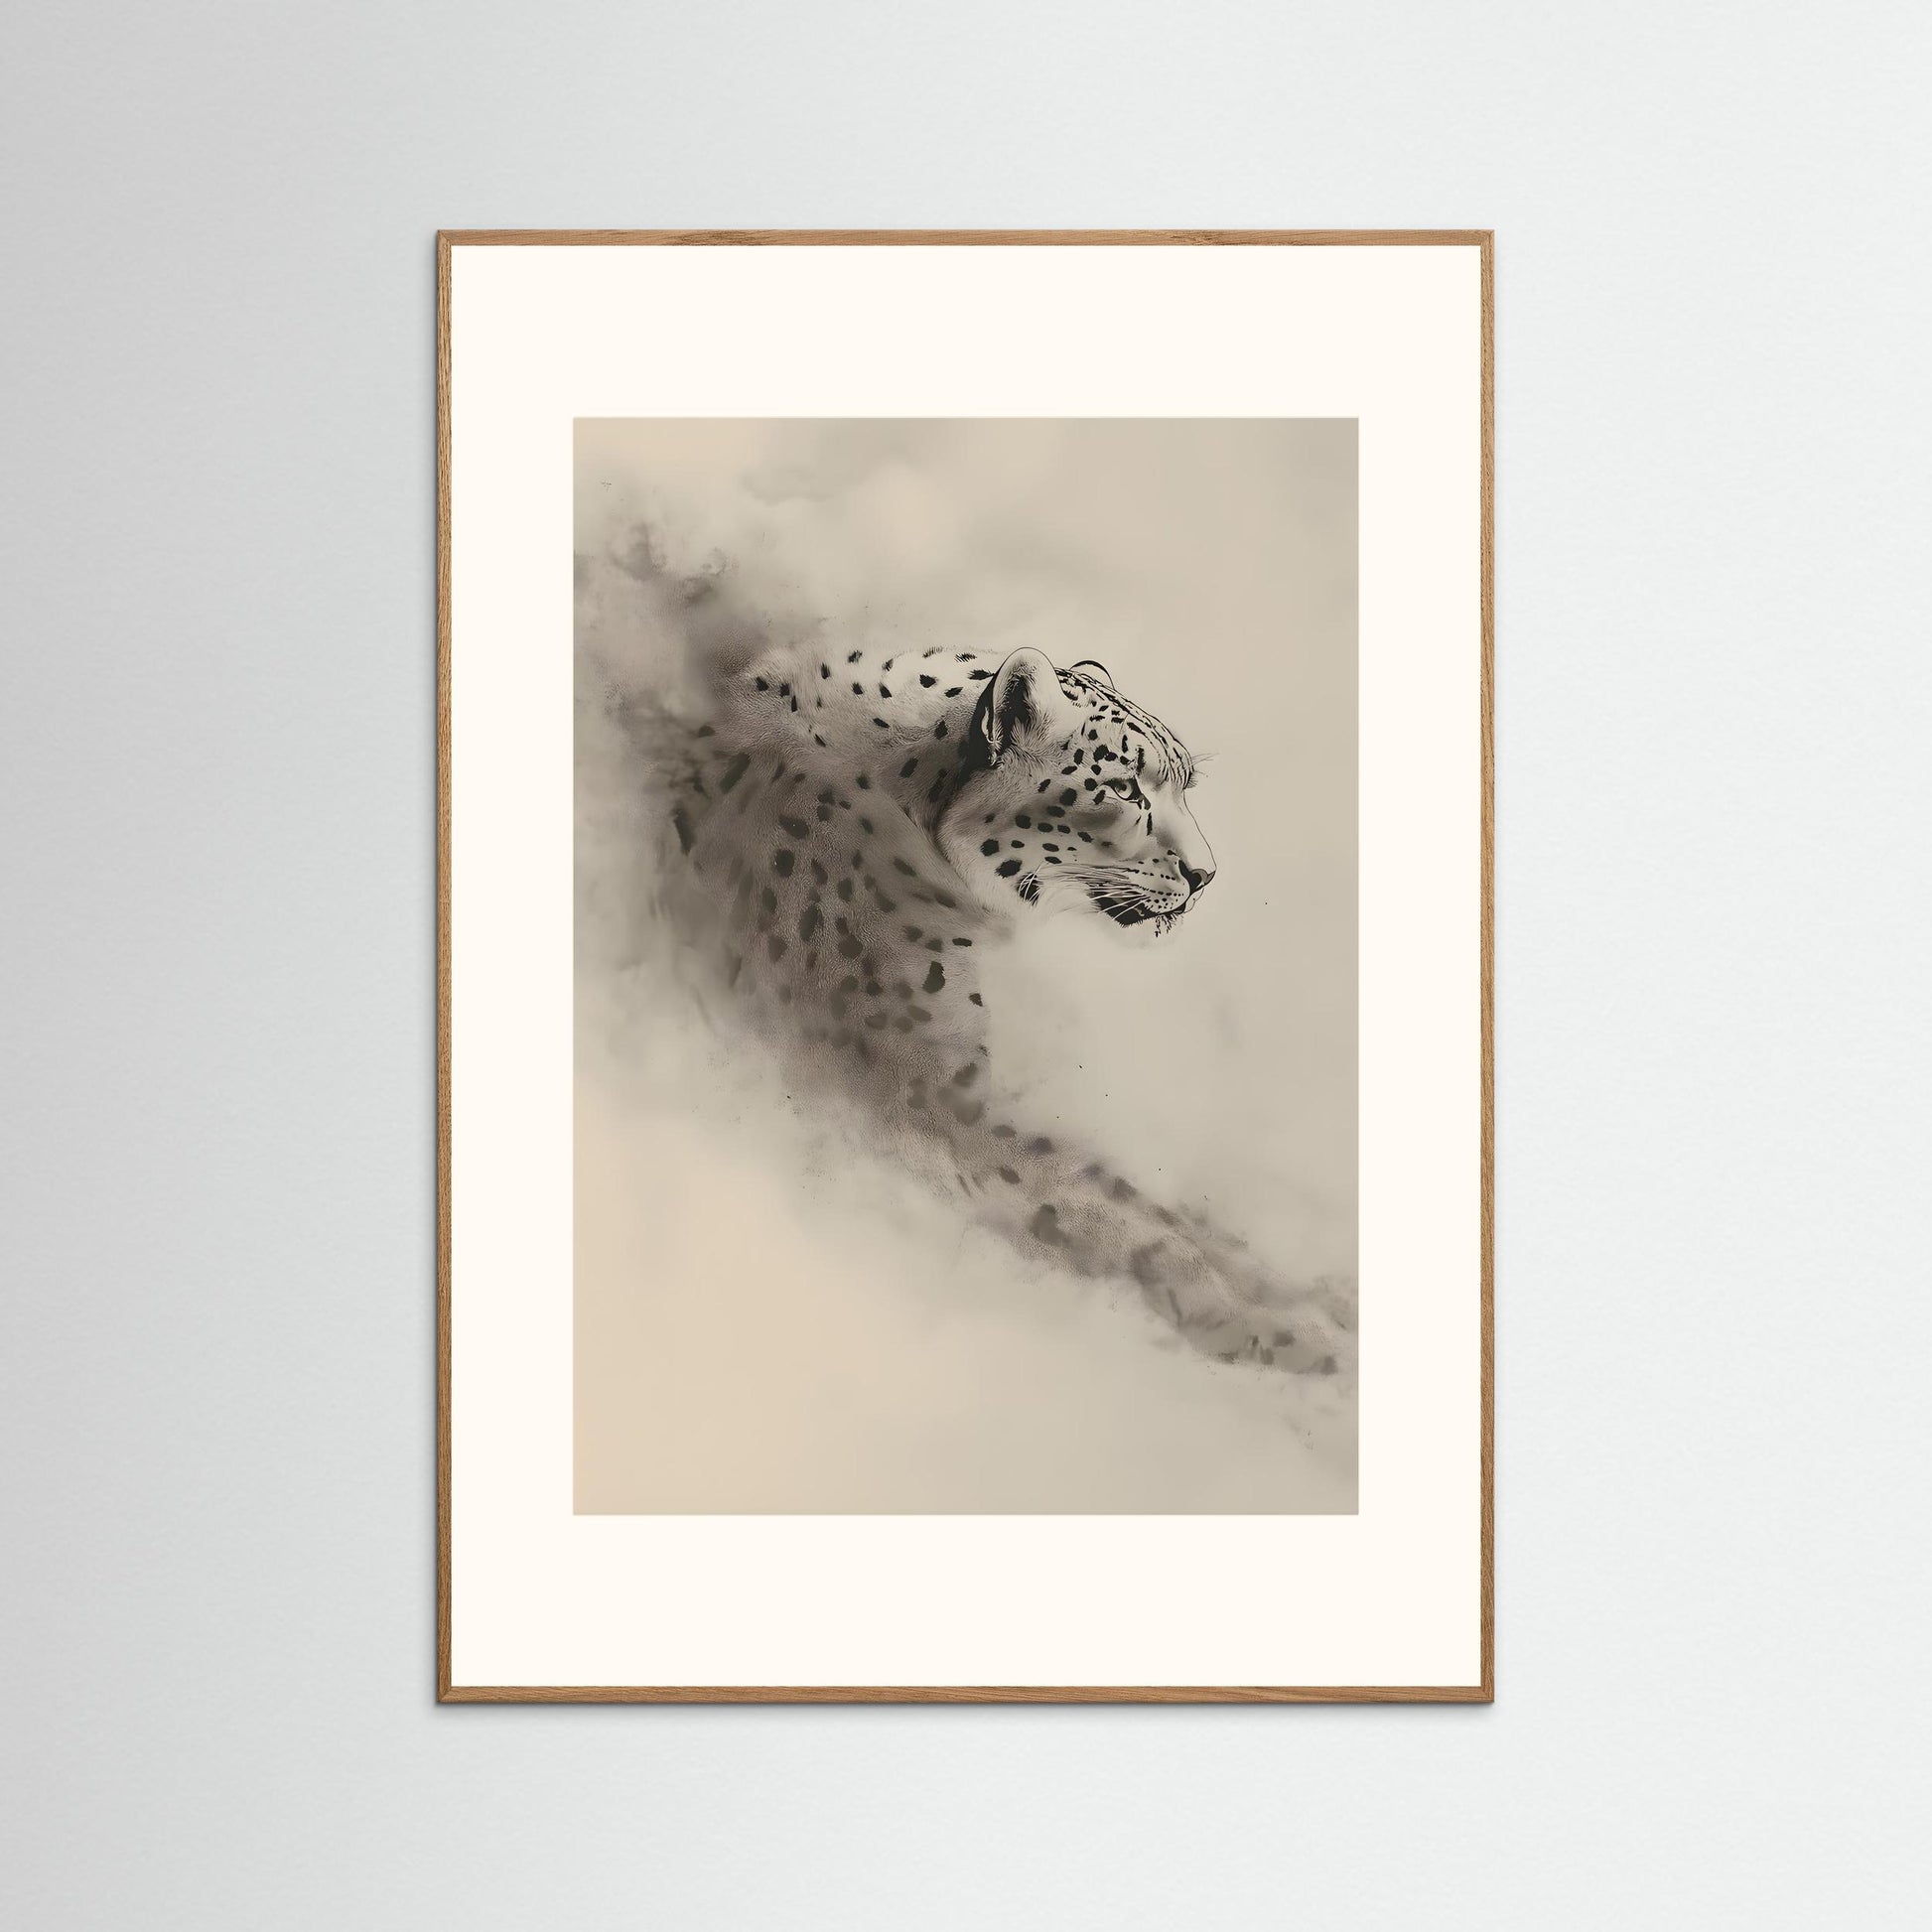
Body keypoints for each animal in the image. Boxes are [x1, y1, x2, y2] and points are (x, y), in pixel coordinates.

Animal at [589, 574, 1356, 1379]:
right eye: (1125, 788)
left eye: (1184, 785)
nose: (1205, 875)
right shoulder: (927, 1091)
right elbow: (1115, 1216)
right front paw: (1303, 1336)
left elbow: (1147, 1204)